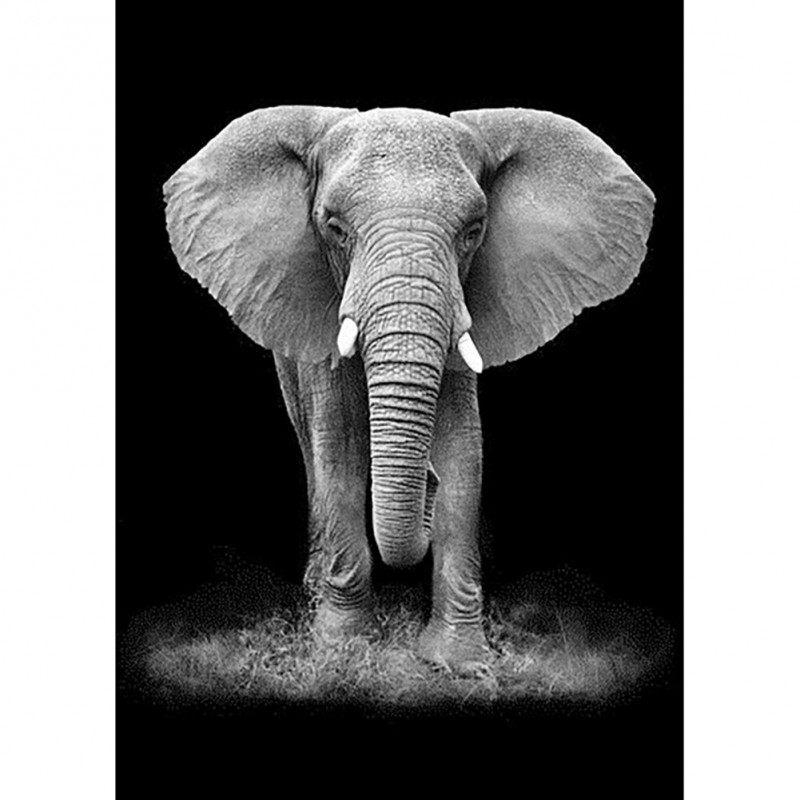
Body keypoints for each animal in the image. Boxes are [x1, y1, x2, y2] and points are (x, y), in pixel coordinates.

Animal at [163, 106, 654, 673]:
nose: (427, 481)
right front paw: (342, 649)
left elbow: (465, 450)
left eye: (473, 231)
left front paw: (460, 662)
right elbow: (340, 450)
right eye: (334, 228)